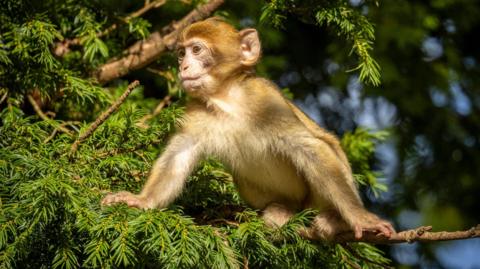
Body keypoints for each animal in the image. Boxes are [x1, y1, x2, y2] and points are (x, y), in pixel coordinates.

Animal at [101, 17, 394, 240]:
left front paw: (361, 218)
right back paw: (281, 211)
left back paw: (335, 221)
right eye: (182, 53)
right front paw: (142, 201)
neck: (227, 100)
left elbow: (310, 147)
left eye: (196, 50)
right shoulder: (196, 112)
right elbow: (179, 155)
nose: (183, 66)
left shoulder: (267, 101)